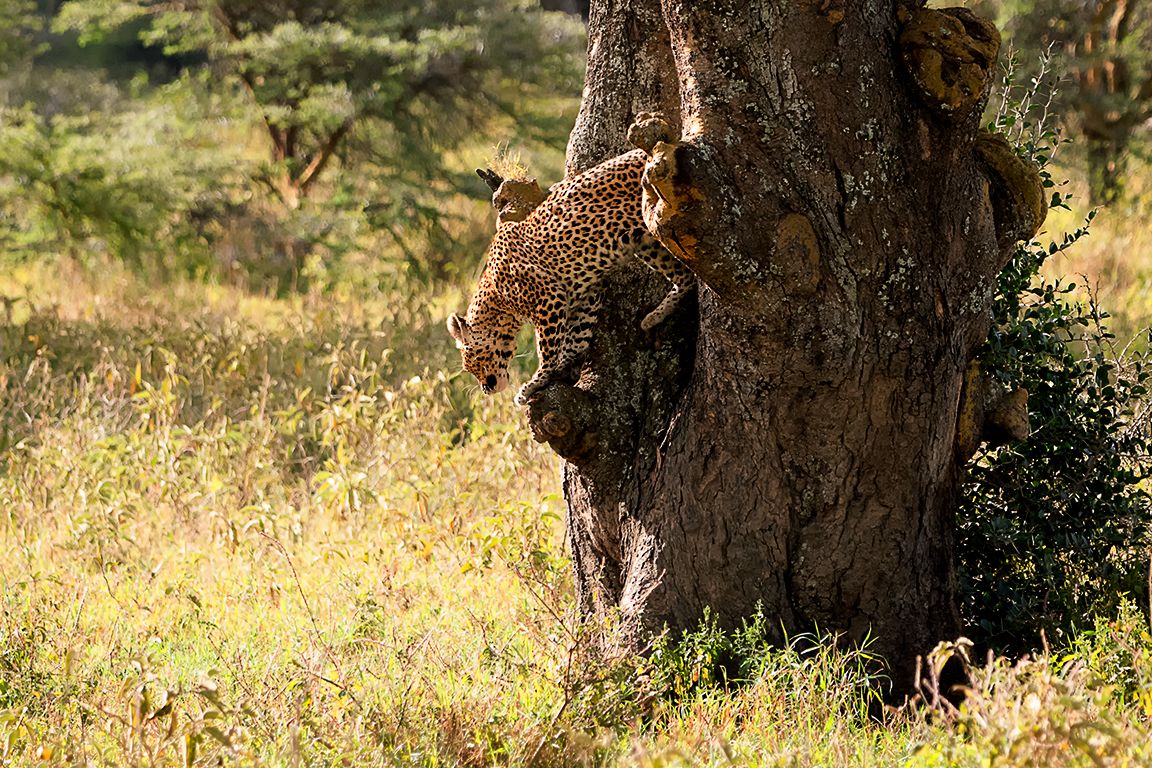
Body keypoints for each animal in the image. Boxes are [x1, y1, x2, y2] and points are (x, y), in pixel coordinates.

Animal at [447, 148, 693, 406]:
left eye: (473, 362)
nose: (486, 388)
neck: (497, 304)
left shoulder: (548, 297)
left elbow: (546, 349)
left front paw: (534, 383)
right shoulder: (586, 295)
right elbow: (577, 338)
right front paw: (562, 367)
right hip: (645, 242)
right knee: (685, 277)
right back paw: (654, 316)